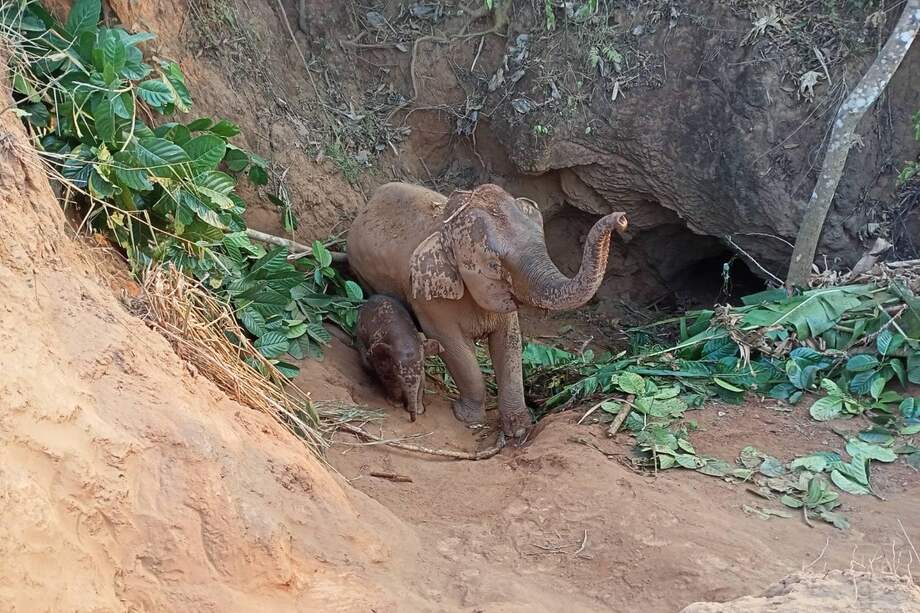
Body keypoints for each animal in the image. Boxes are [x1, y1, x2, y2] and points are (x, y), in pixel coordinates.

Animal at [347, 182, 627, 440]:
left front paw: (518, 429)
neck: (444, 228)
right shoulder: (429, 300)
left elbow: (509, 344)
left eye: (543, 244)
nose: (622, 219)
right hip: (364, 275)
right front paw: (467, 417)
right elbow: (455, 349)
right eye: (494, 265)